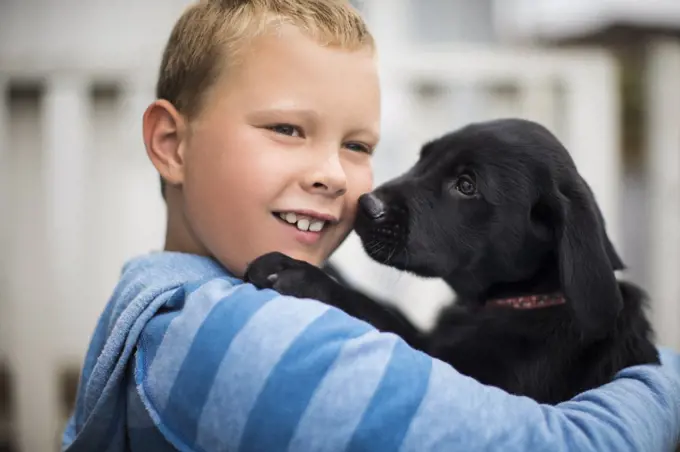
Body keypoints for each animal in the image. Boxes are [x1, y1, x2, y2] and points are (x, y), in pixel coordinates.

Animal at [243, 118, 660, 404]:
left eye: (466, 185)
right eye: (423, 158)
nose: (366, 205)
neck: (523, 300)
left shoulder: (461, 370)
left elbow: (382, 315)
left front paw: (300, 273)